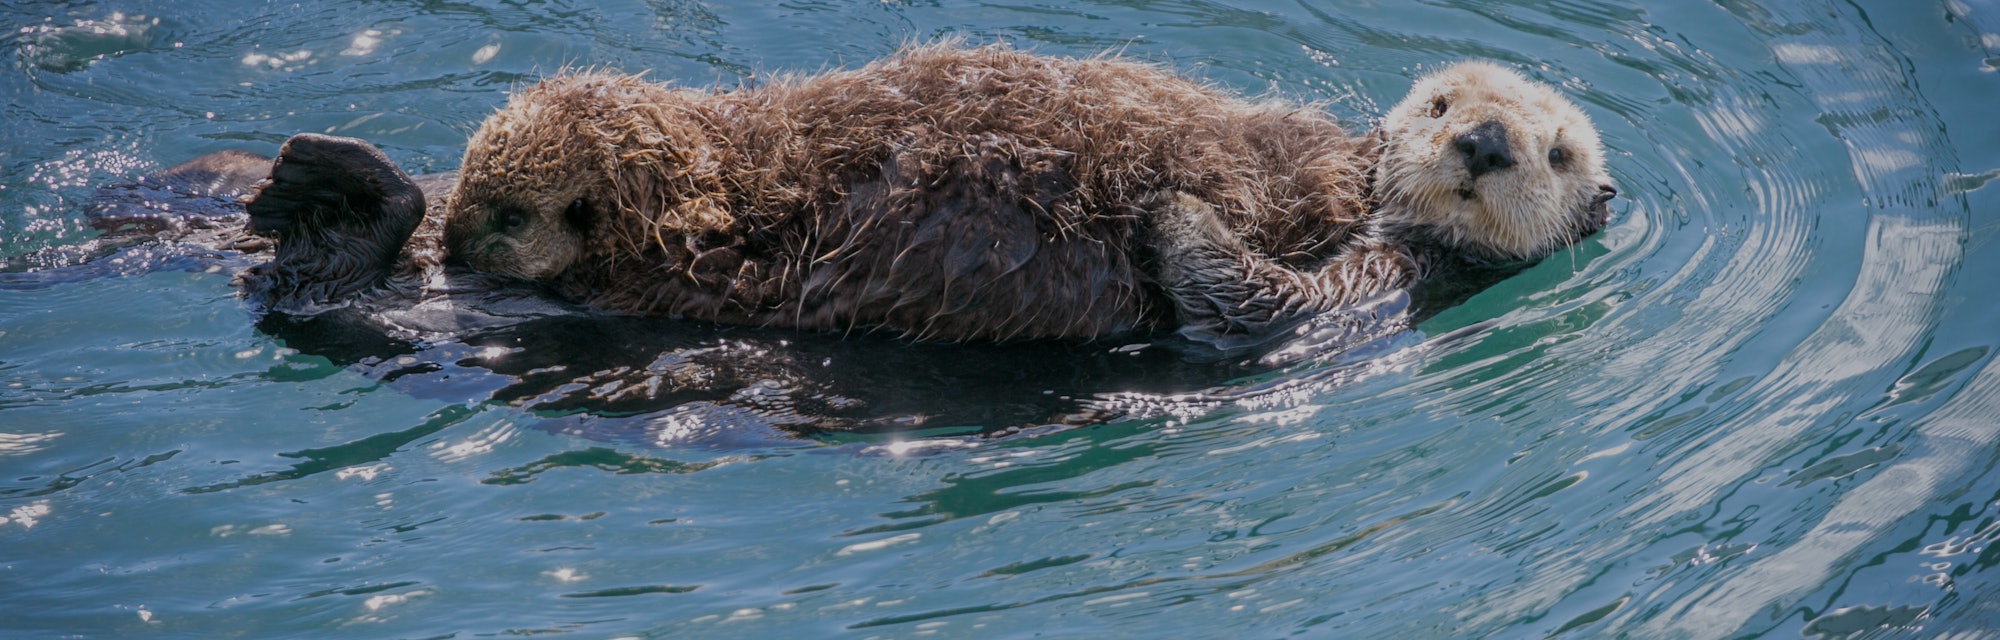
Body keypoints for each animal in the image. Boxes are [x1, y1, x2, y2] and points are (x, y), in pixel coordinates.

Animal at [443, 44, 1614, 344]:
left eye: (1556, 155)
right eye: (1439, 102)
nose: (1482, 141)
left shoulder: (1380, 286)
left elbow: (1250, 302)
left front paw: (1172, 208)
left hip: (721, 258)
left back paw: (519, 207)